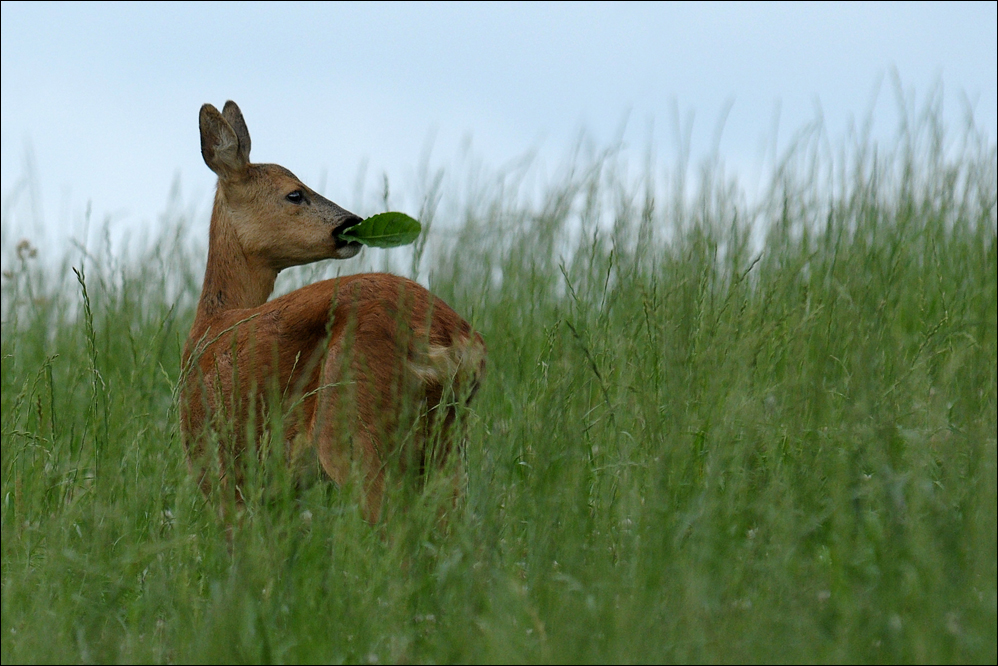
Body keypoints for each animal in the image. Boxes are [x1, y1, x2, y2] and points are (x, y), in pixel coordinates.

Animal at [185, 100, 492, 524]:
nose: (353, 223)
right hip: (447, 436)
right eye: (295, 194)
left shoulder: (217, 467)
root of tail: (452, 340)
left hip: (353, 422)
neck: (209, 325)